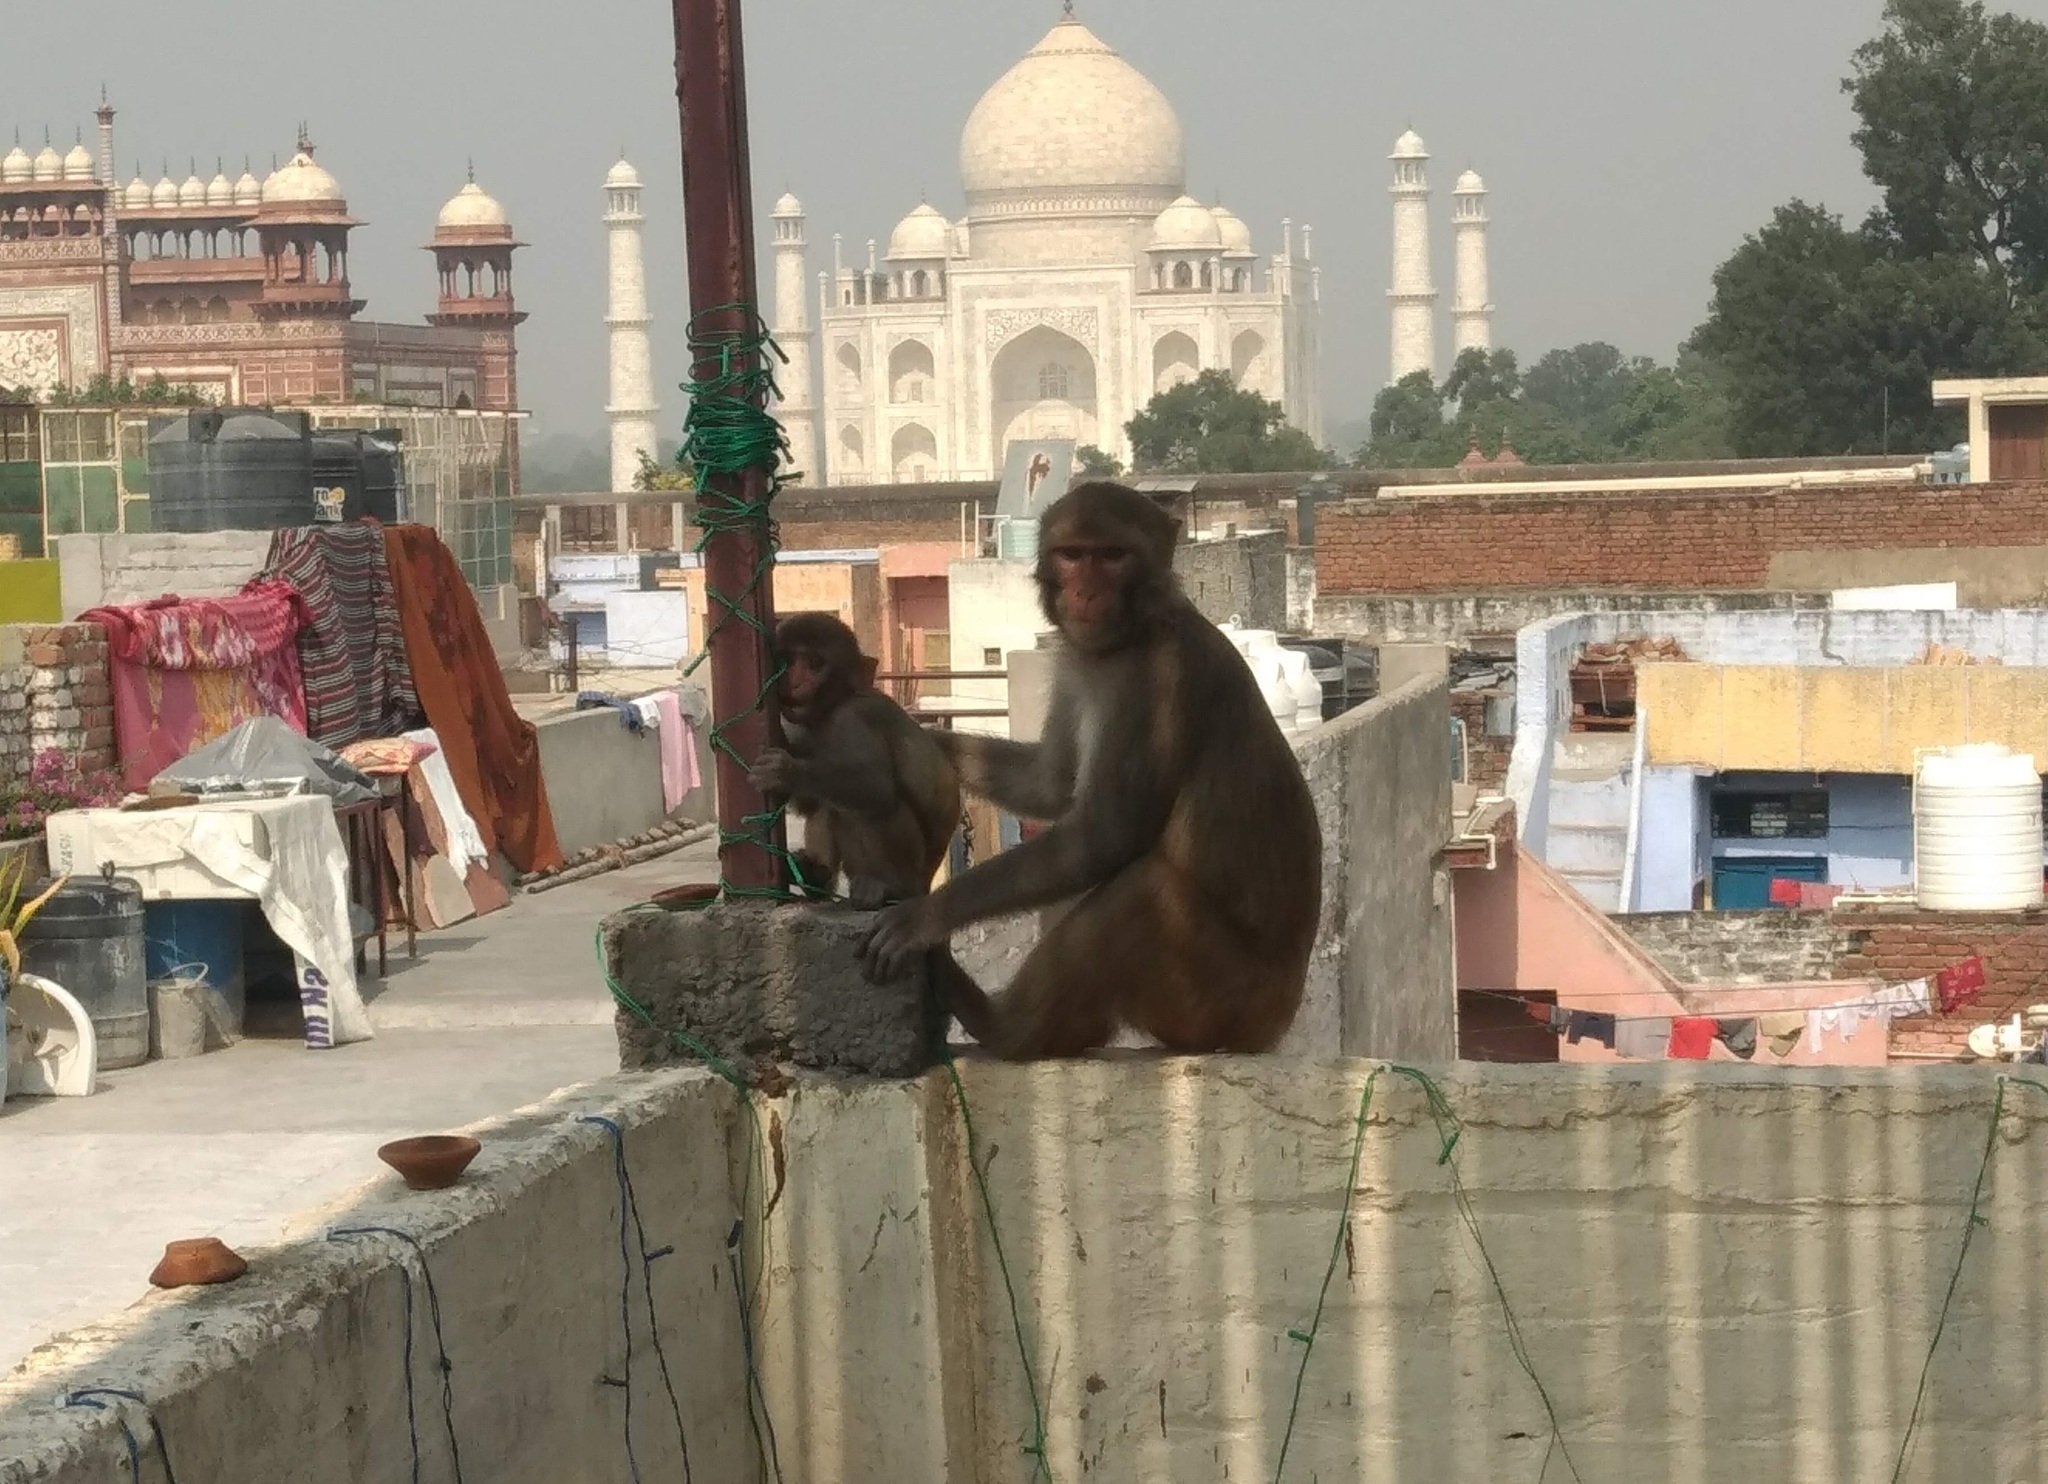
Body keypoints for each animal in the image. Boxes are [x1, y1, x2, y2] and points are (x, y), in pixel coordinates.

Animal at [749, 609, 962, 908]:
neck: (830, 709)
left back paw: (889, 889)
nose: (794, 682)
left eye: (815, 663)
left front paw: (785, 771)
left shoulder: (853, 719)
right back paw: (815, 880)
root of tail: (925, 885)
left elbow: (877, 786)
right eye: (786, 661)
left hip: (911, 871)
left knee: (864, 808)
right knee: (826, 805)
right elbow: (810, 802)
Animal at [856, 483, 1318, 1056]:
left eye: (1113, 556)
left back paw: (1006, 1028)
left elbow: (1104, 835)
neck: (1131, 634)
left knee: (1142, 890)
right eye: (1073, 555)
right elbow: (1049, 784)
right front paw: (910, 731)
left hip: (1220, 1001)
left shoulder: (1155, 680)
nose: (1086, 593)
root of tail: (1279, 1018)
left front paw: (925, 917)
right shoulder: (1074, 663)